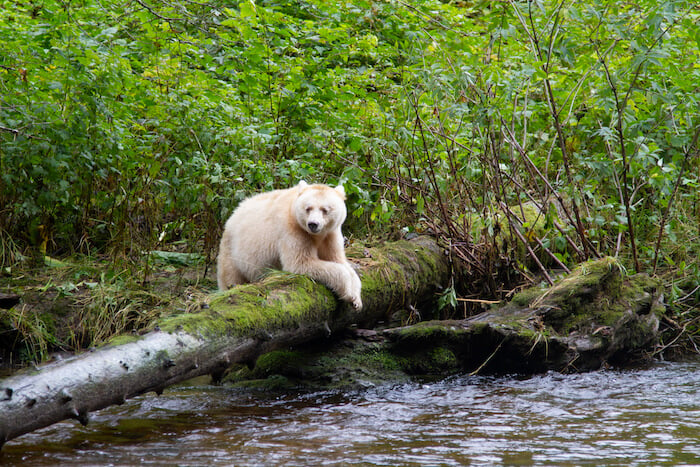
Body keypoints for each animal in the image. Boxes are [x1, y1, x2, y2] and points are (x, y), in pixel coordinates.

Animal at [216, 182, 364, 310]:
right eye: (308, 208)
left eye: (325, 210)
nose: (313, 224)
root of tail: (234, 213)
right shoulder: (293, 230)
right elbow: (301, 263)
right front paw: (348, 294)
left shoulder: (330, 235)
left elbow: (339, 261)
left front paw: (357, 299)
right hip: (232, 250)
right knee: (230, 275)